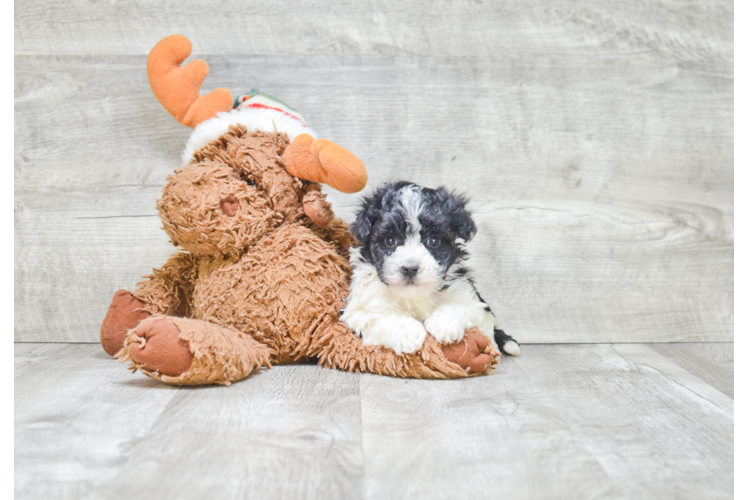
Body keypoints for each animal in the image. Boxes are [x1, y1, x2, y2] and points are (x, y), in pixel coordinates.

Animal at [340, 182, 520, 358]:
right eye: (391, 241)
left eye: (433, 241)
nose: (410, 268)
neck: (416, 295)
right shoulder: (359, 310)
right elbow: (380, 316)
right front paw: (408, 333)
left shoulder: (473, 300)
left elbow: (462, 306)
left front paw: (444, 323)